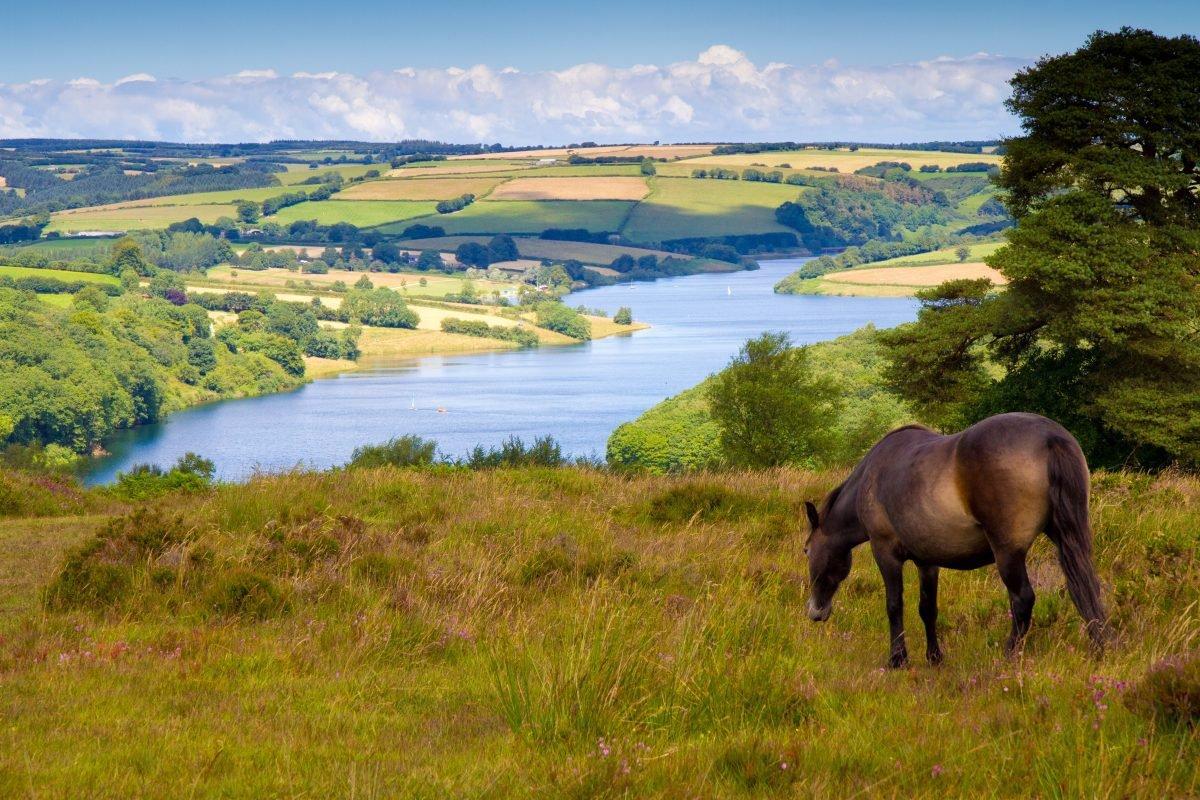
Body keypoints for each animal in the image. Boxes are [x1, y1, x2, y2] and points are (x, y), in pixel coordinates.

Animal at [806, 412, 1104, 671]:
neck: (872, 475)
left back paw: (1009, 655)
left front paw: (898, 659)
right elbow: (928, 609)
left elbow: (894, 605)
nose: (815, 612)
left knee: (1022, 599)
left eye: (806, 550)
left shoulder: (885, 552)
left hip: (1008, 553)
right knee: (1086, 587)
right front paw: (934, 657)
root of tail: (1050, 437)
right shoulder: (927, 561)